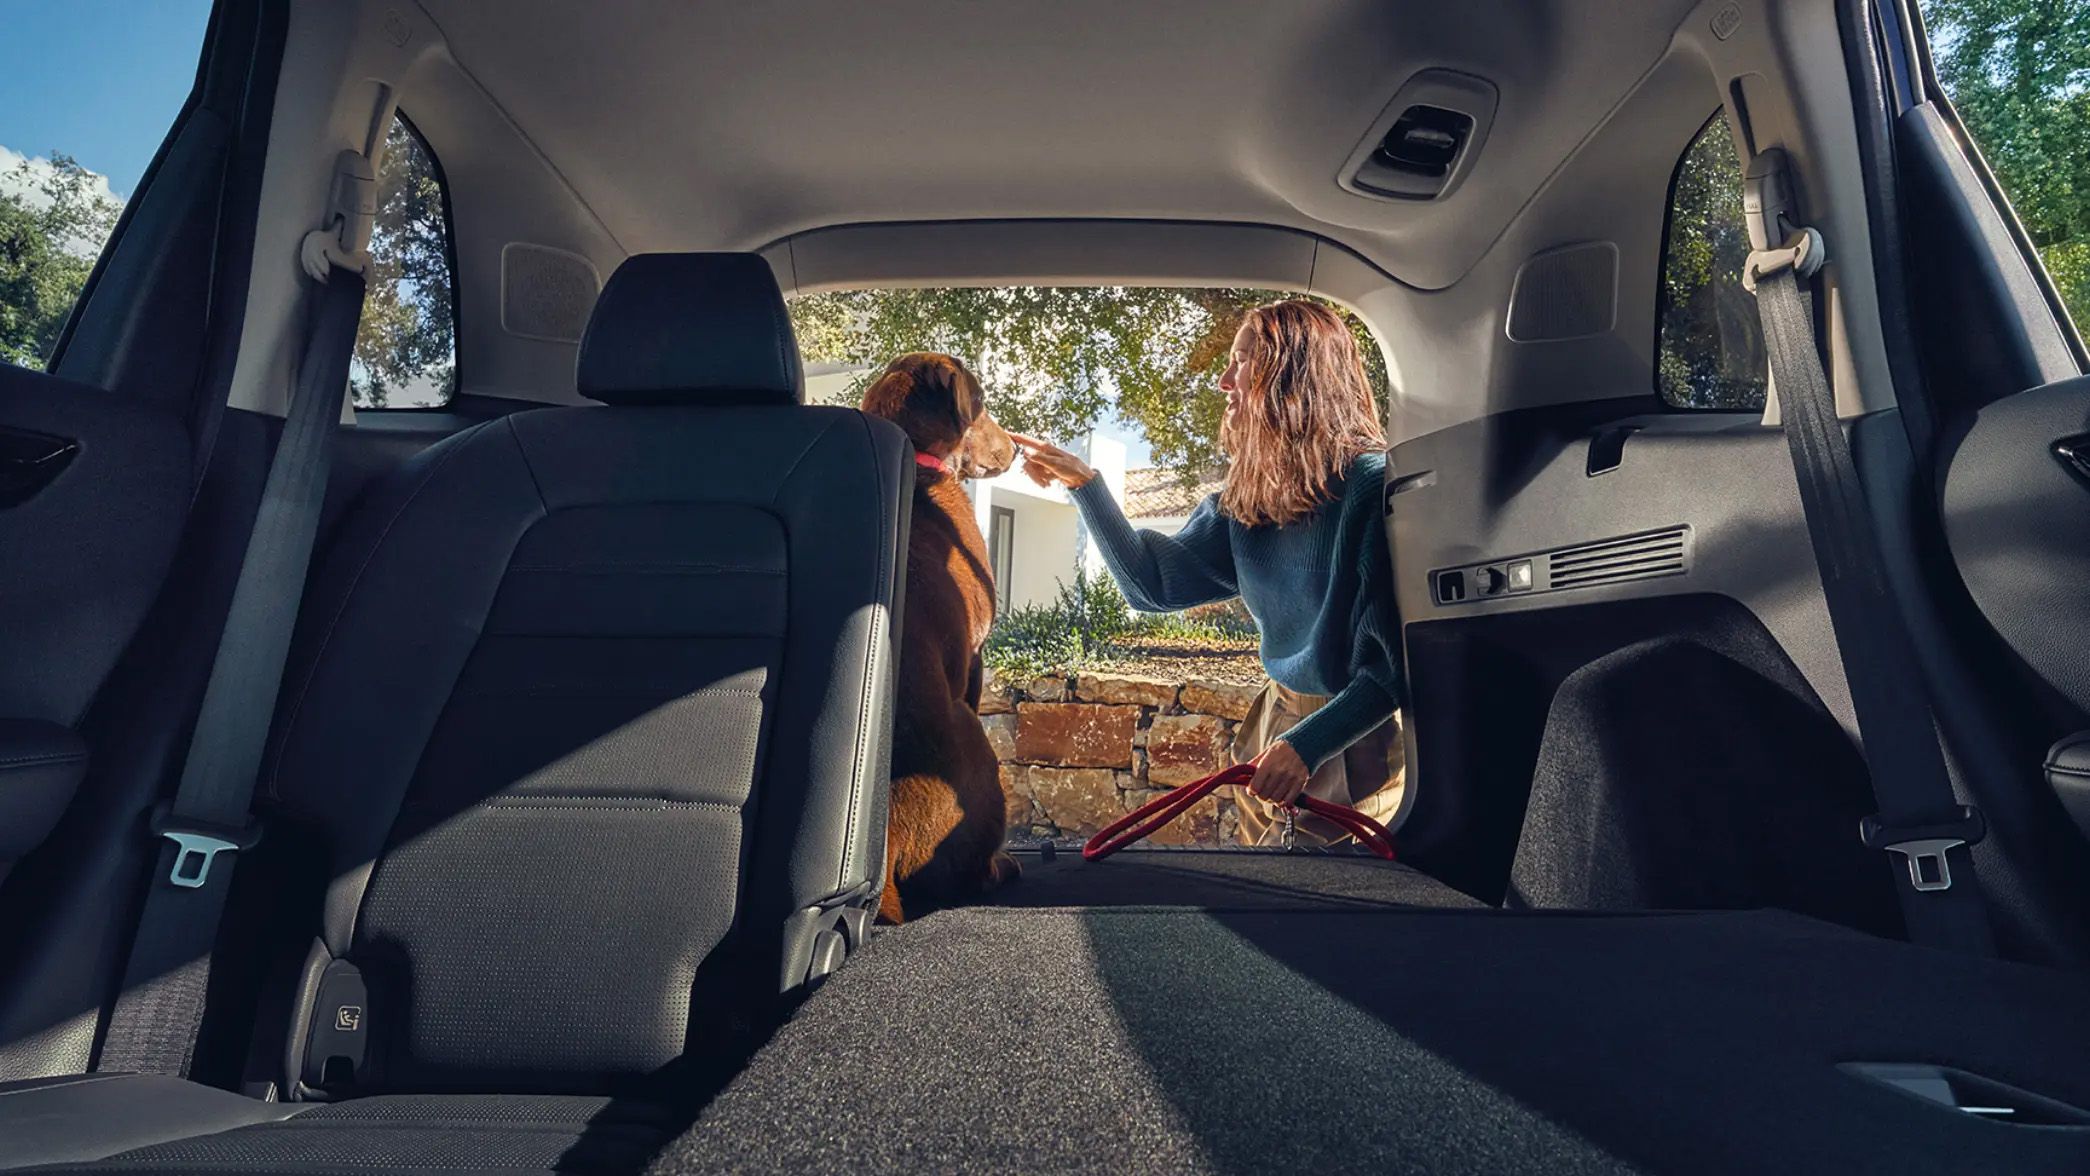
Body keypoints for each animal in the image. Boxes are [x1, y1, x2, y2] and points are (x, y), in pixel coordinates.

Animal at [859, 353, 1022, 924]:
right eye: (984, 402)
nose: (1017, 447)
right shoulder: (975, 654)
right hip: (979, 747)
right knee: (970, 875)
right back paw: (1002, 867)